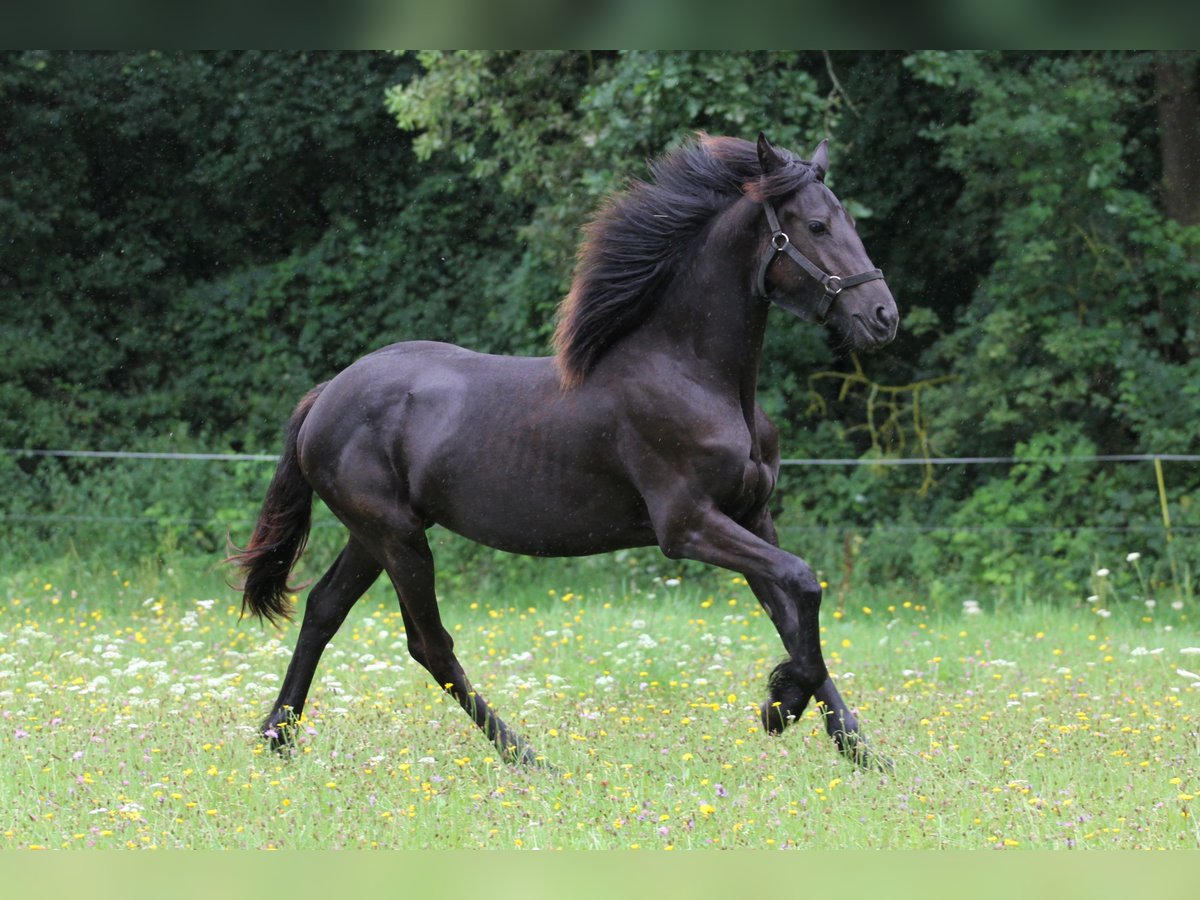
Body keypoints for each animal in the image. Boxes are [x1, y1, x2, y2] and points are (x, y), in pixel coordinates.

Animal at [229, 137, 897, 772]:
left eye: (848, 220)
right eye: (816, 226)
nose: (882, 316)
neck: (693, 374)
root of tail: (325, 396)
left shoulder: (752, 517)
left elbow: (792, 614)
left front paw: (864, 753)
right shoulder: (688, 526)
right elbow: (804, 584)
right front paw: (781, 707)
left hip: (373, 537)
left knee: (323, 610)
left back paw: (278, 739)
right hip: (397, 538)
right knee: (430, 645)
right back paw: (526, 756)